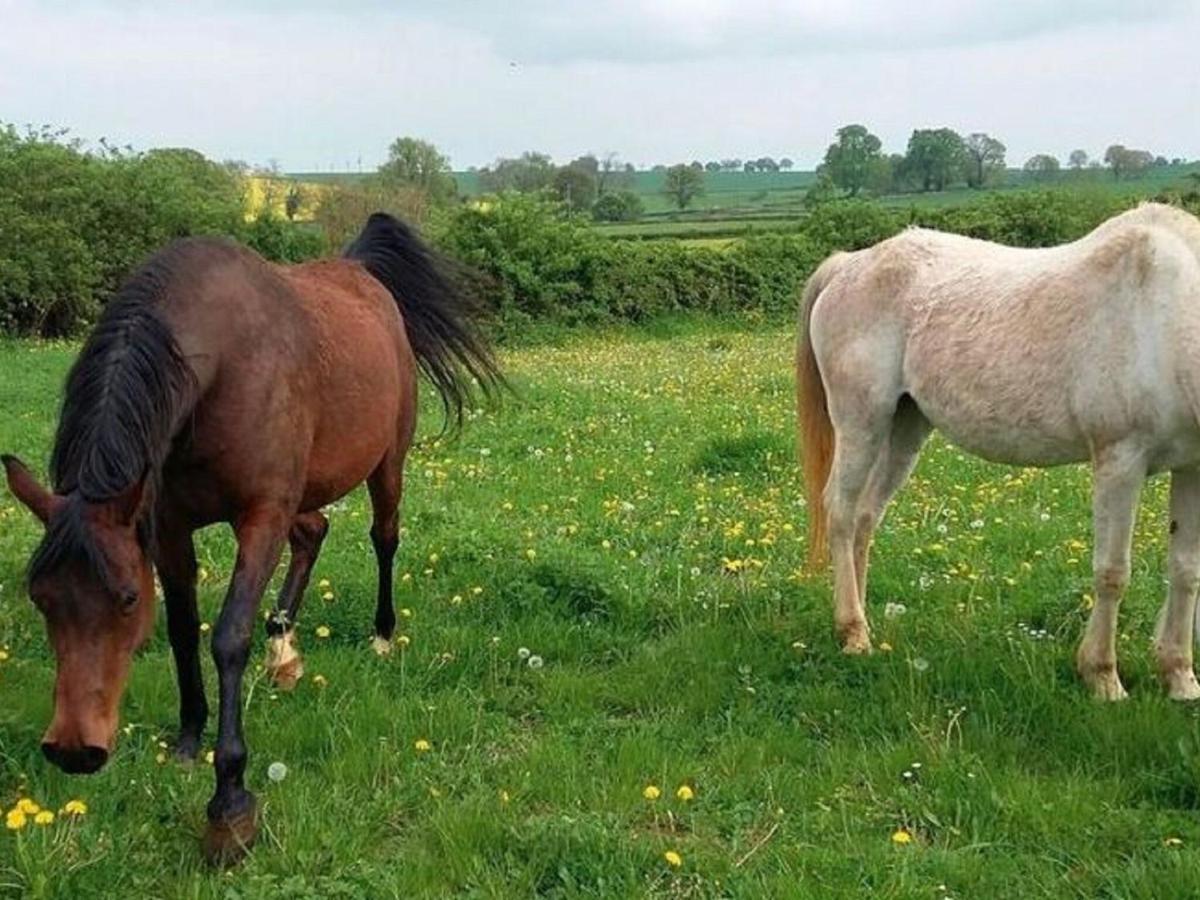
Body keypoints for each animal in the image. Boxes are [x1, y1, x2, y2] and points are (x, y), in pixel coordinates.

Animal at [3, 213, 501, 868]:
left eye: (126, 599)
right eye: (40, 597)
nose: (73, 750)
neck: (223, 369)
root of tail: (362, 273)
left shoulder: (260, 516)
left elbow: (229, 637)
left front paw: (230, 802)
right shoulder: (167, 524)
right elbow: (183, 630)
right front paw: (189, 738)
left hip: (387, 463)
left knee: (383, 537)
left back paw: (381, 636)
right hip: (304, 490)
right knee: (314, 533)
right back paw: (283, 647)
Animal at [796, 204, 1200, 705]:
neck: (1169, 316)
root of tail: (848, 265)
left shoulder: (1192, 468)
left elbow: (1186, 570)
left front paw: (1179, 676)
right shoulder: (1119, 461)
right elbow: (1112, 572)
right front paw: (1103, 677)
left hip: (904, 428)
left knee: (866, 517)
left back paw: (862, 621)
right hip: (861, 423)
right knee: (841, 513)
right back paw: (853, 633)